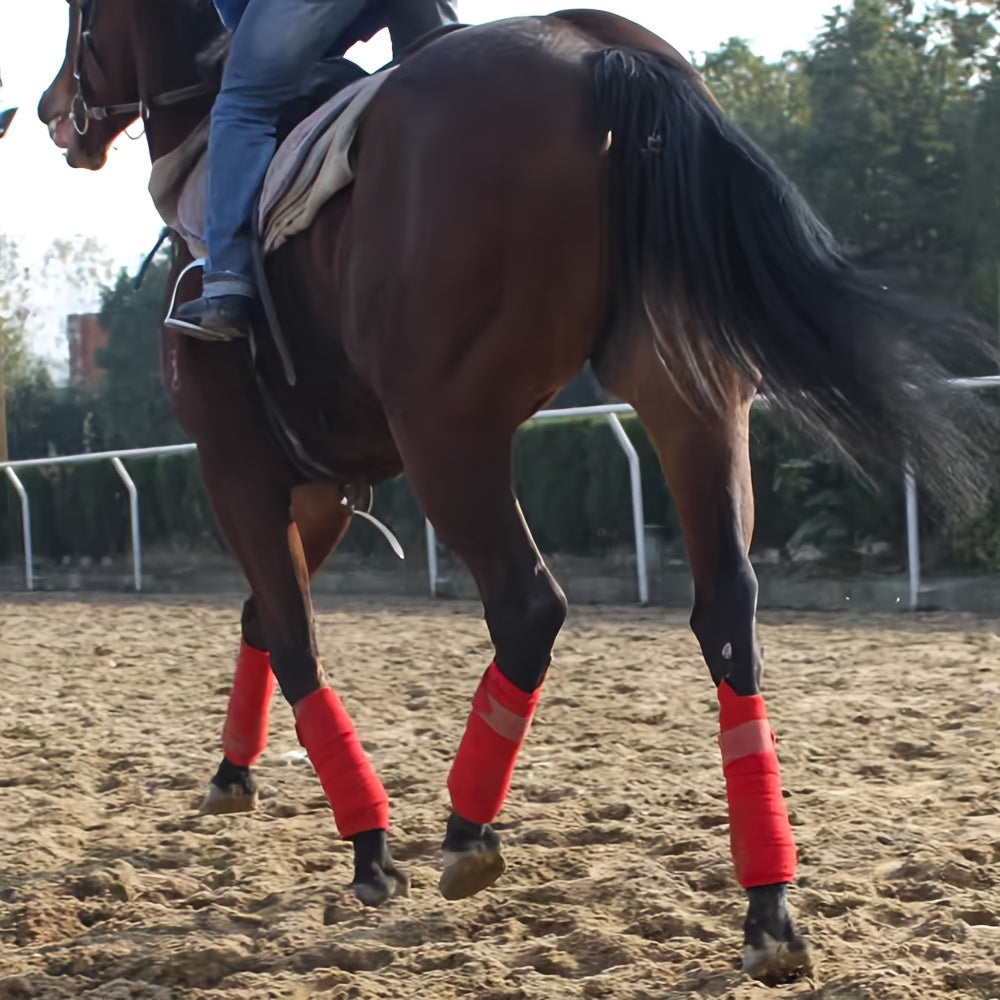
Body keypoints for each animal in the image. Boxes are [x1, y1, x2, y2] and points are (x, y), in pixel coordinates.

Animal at [37, 0, 991, 983]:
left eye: (78, 18)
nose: (51, 111)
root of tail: (598, 53)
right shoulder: (320, 487)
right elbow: (262, 616)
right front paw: (233, 774)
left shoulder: (236, 463)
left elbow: (294, 638)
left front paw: (368, 847)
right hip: (689, 390)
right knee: (727, 611)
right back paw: (768, 907)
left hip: (445, 427)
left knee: (530, 605)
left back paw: (466, 831)